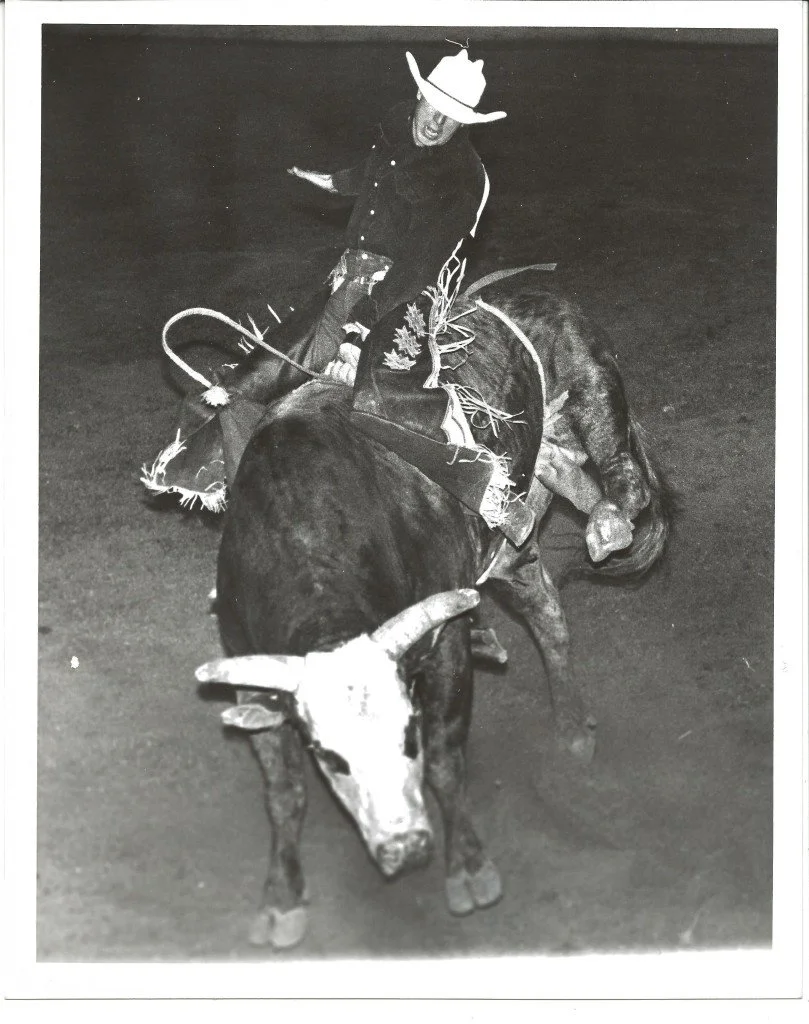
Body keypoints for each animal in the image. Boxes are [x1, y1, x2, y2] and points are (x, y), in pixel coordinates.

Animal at [191, 274, 674, 949]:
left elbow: (446, 764)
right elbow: (283, 793)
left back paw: (608, 528)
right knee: (548, 606)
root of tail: (536, 294)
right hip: (513, 543)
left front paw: (468, 869)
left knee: (622, 476)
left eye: (407, 734)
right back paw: (571, 722)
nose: (407, 847)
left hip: (596, 394)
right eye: (331, 758)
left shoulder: (442, 646)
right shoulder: (254, 677)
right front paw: (281, 898)